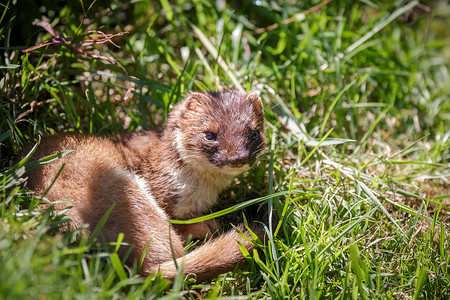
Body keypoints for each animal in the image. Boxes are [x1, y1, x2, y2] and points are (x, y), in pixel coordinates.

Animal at [21, 90, 266, 282]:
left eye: (254, 133)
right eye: (209, 134)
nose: (237, 158)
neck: (201, 191)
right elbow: (179, 224)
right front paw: (205, 224)